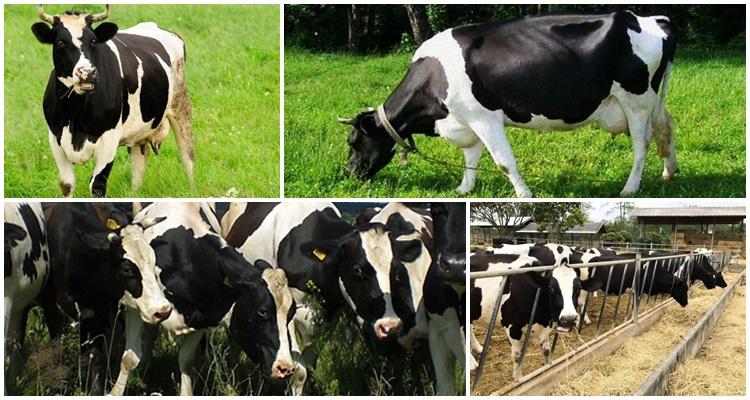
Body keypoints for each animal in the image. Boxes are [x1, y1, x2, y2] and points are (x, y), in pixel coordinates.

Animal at [33, 5, 195, 197]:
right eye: (60, 43)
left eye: (93, 41)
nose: (87, 73)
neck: (76, 113)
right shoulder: (55, 137)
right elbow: (67, 184)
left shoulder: (109, 140)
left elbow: (97, 185)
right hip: (140, 130)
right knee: (139, 165)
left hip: (181, 106)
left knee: (187, 156)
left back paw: (192, 190)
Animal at [42, 203, 172, 394]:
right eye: (127, 269)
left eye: (153, 261)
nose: (163, 311)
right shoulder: (58, 306)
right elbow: (63, 350)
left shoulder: (104, 310)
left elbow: (103, 356)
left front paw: (100, 390)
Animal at [111, 203, 300, 396]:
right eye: (262, 312)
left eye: (291, 314)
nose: (286, 367)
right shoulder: (134, 307)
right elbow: (130, 358)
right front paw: (115, 392)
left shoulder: (201, 318)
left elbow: (186, 362)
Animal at [342, 12, 680, 198]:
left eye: (354, 141)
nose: (348, 174)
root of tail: (649, 19)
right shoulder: (468, 120)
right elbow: (471, 158)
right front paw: (464, 190)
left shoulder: (484, 118)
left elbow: (503, 162)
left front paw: (525, 193)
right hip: (652, 101)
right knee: (666, 127)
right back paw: (668, 172)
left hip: (636, 100)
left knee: (642, 144)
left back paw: (630, 188)